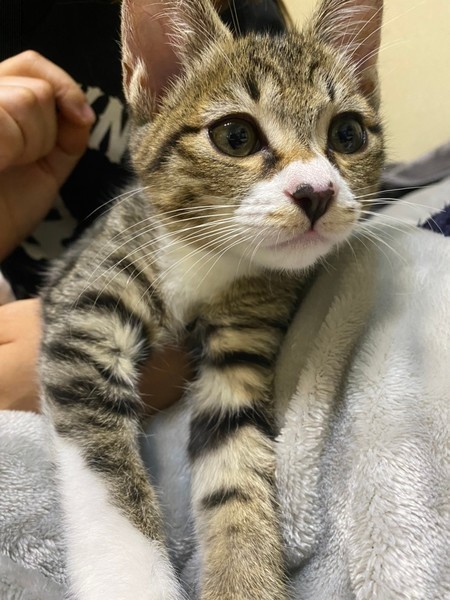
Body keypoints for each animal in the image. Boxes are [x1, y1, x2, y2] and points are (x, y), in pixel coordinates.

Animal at [39, 0, 384, 598]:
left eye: (347, 133)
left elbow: (235, 463)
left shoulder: (244, 341)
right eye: (235, 137)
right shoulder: (84, 311)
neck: (209, 259)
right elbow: (103, 463)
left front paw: (245, 576)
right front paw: (132, 579)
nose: (317, 192)